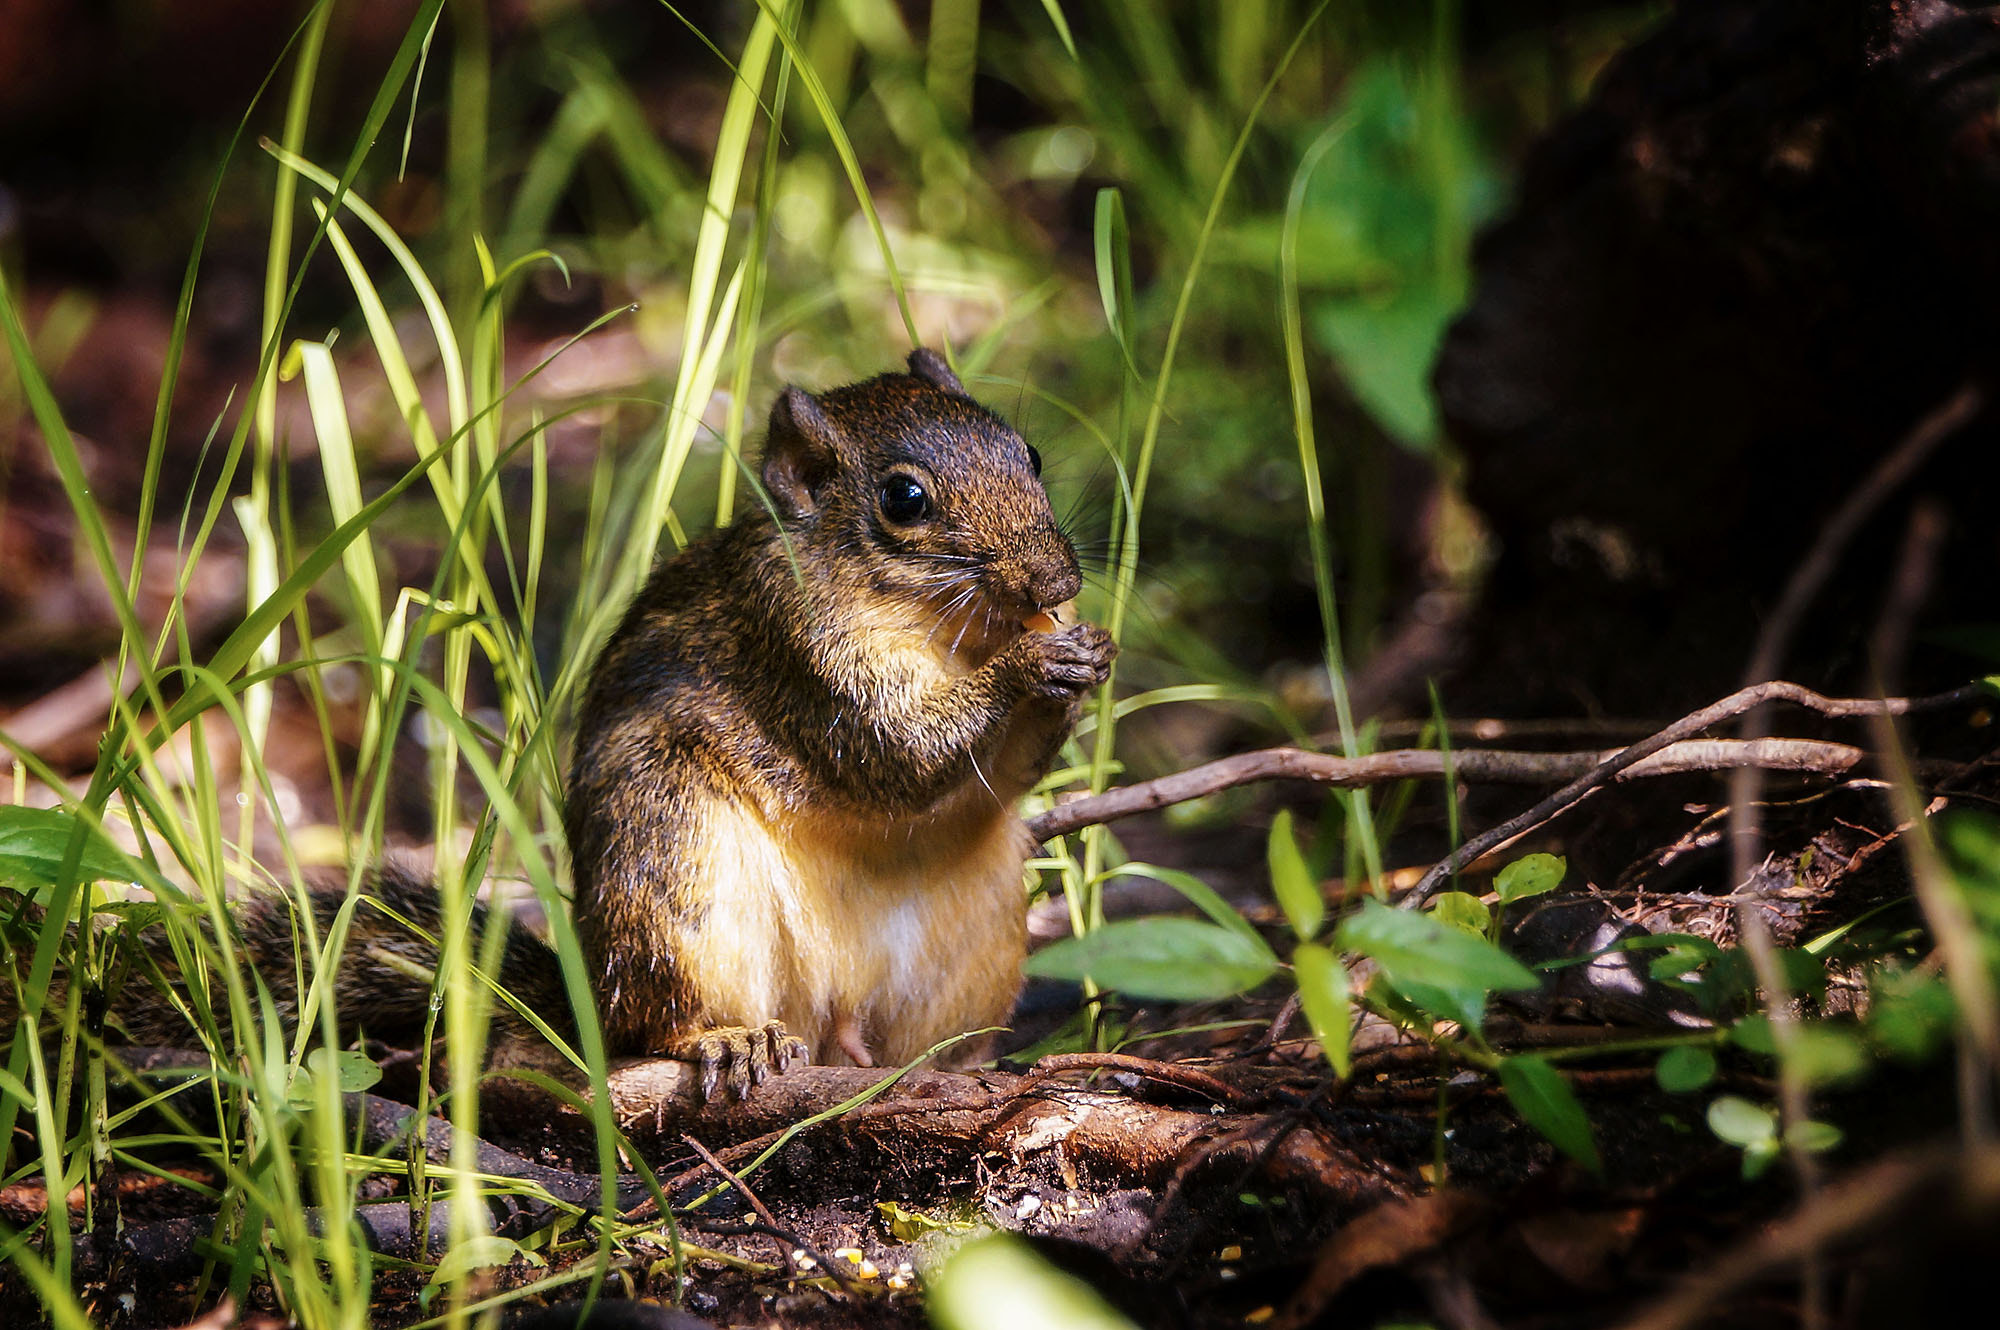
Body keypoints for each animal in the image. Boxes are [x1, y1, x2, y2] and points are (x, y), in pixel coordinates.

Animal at [11, 348, 1112, 1096]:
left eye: (1028, 450)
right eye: (904, 499)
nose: (1056, 581)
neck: (938, 627)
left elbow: (1002, 773)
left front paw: (1083, 654)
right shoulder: (797, 647)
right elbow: (895, 747)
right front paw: (1031, 665)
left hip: (975, 941)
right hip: (672, 866)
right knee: (655, 1022)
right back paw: (726, 1038)